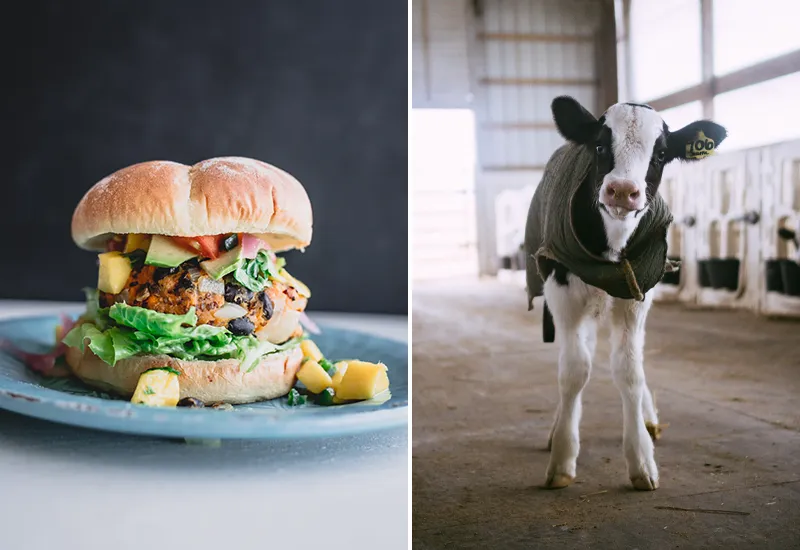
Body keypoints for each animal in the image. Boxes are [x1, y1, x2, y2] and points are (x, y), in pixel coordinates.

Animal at [524, 95, 724, 492]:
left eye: (660, 154)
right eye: (600, 146)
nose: (621, 191)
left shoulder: (637, 291)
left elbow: (630, 370)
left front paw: (641, 460)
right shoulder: (561, 287)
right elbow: (574, 370)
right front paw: (562, 460)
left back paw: (648, 419)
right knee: (580, 354)